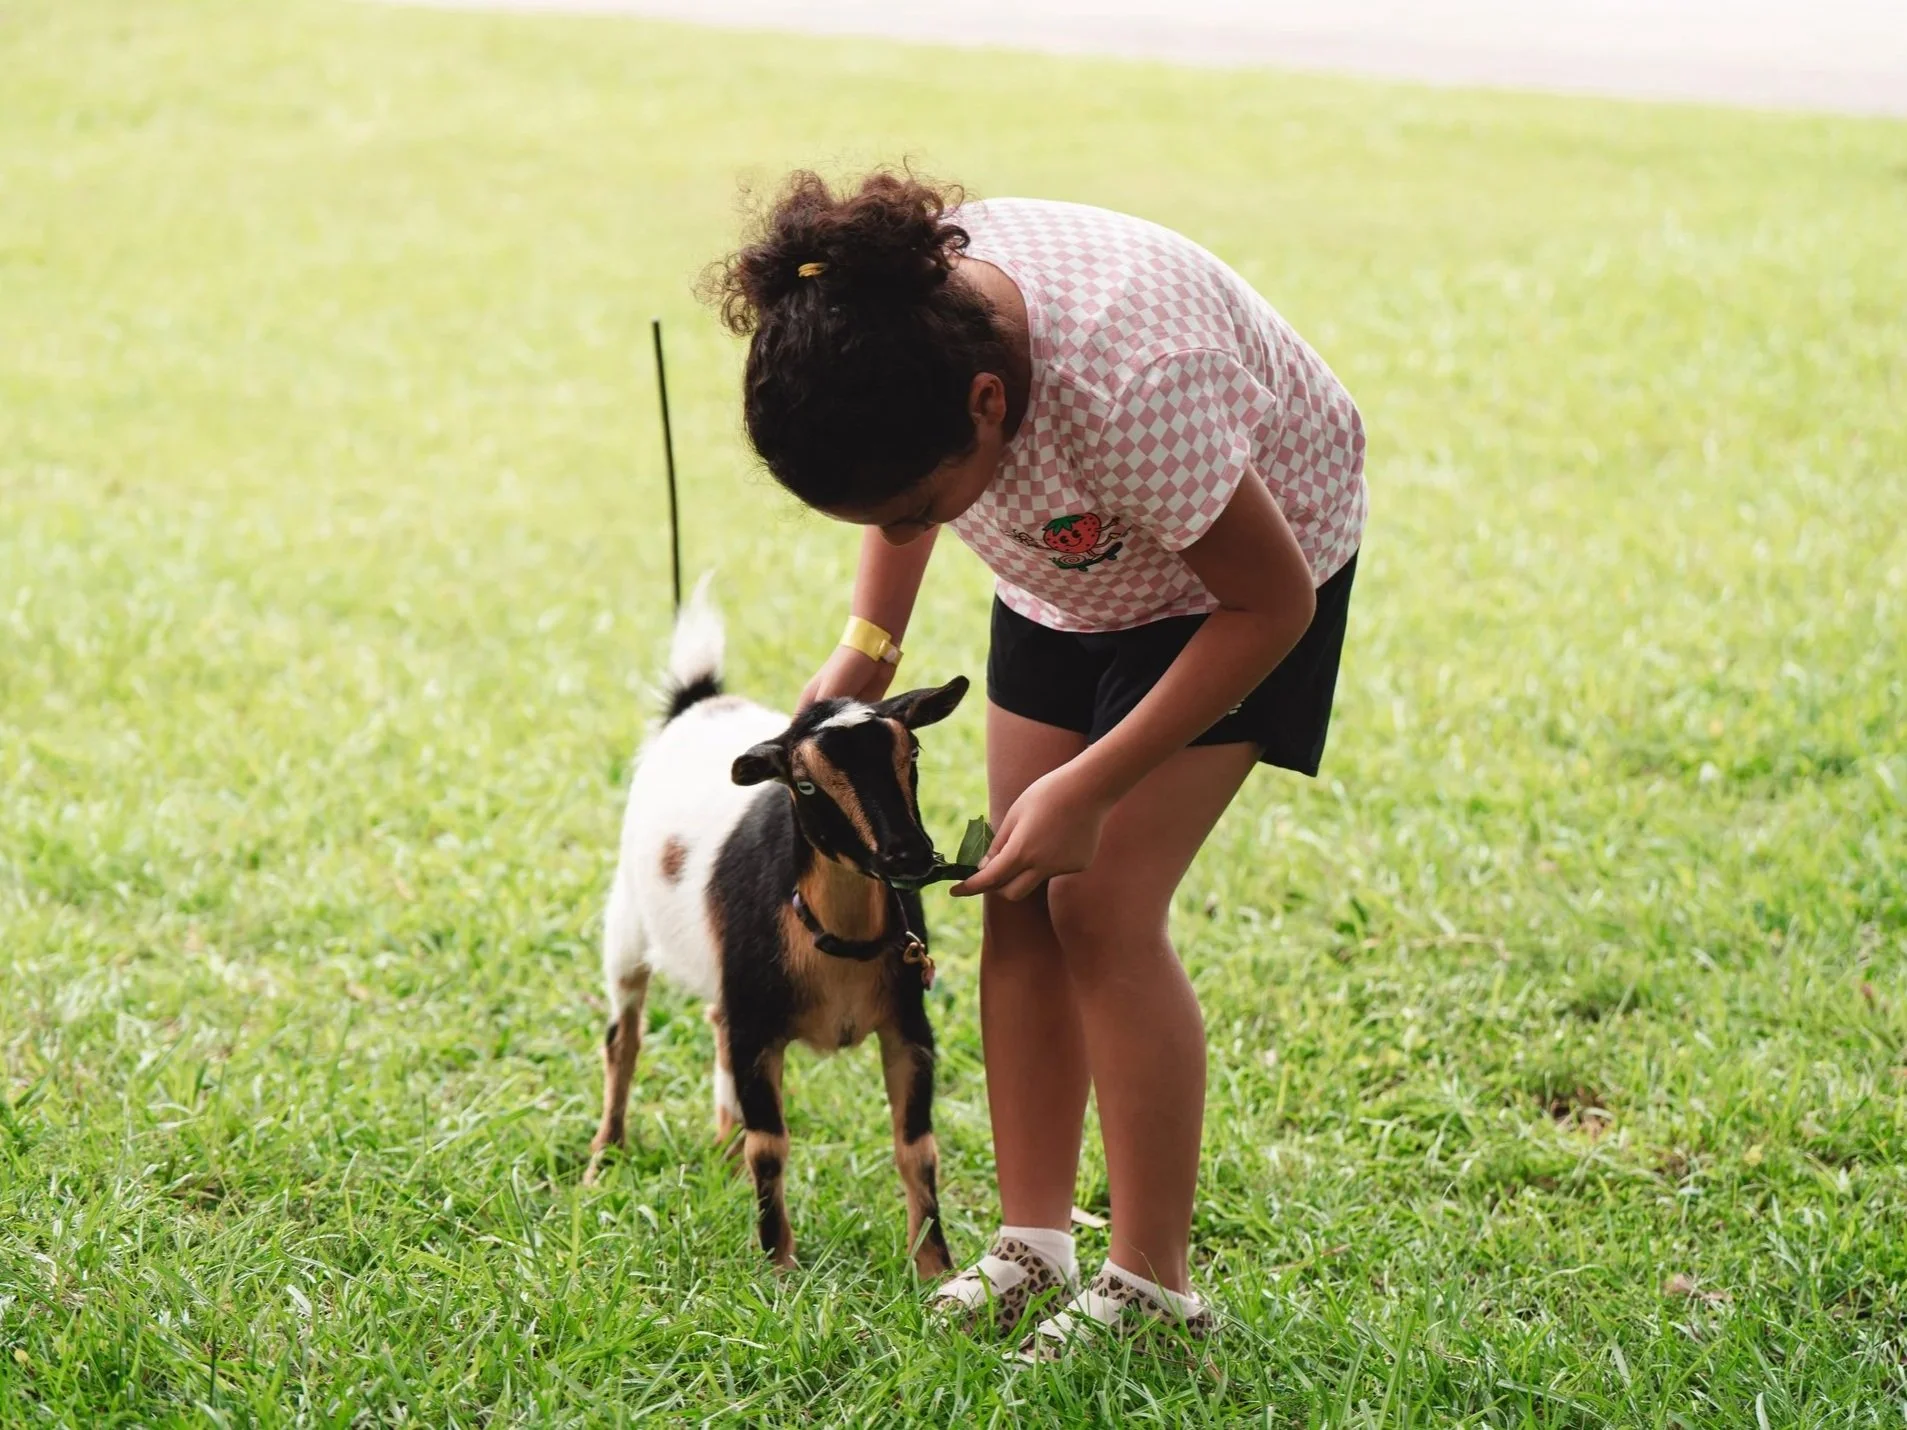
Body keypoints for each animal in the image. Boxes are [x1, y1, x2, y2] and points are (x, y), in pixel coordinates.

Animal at [587, 581, 966, 1277]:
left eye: (914, 755)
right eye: (807, 785)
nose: (908, 856)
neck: (832, 939)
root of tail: (700, 699)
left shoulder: (908, 1026)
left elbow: (917, 1148)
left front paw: (935, 1269)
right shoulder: (758, 1028)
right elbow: (771, 1145)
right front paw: (779, 1267)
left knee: (712, 1024)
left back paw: (721, 1151)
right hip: (625, 926)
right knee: (622, 1039)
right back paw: (605, 1156)